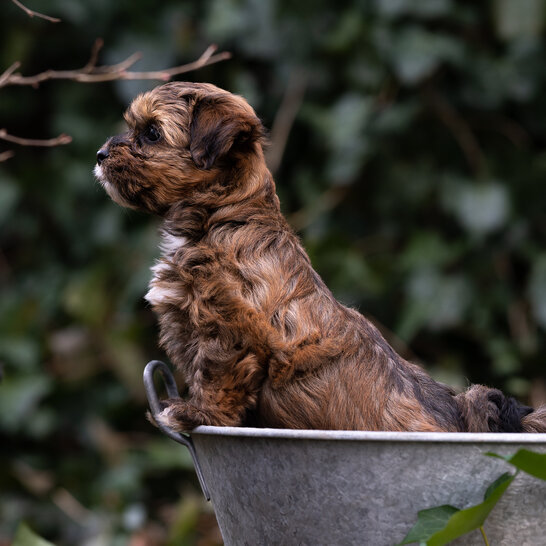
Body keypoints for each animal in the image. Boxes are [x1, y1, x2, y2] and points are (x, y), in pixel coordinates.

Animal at [94, 81, 544, 432]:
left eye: (152, 133)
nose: (99, 155)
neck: (222, 218)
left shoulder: (230, 328)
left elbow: (217, 376)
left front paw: (194, 414)